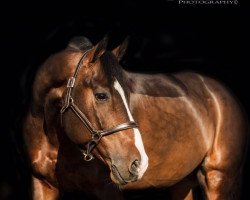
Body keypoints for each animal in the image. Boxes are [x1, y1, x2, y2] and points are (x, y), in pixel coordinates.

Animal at [23, 35, 248, 199]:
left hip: (219, 178)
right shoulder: (42, 184)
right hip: (182, 182)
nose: (139, 163)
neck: (54, 140)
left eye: (128, 93)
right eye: (101, 95)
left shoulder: (107, 191)